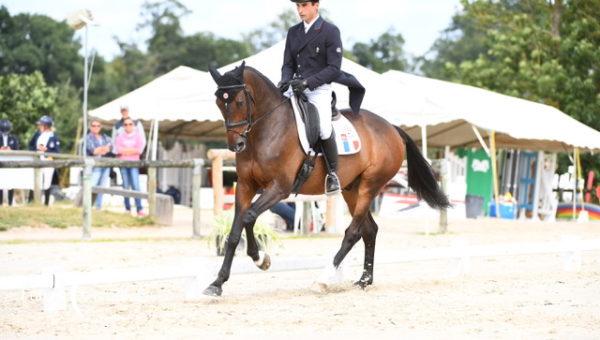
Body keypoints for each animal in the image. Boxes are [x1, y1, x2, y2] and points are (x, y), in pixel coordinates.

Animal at [204, 62, 448, 296]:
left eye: (239, 101)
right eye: (218, 103)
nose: (236, 145)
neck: (265, 131)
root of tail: (392, 128)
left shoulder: (279, 188)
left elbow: (249, 217)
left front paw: (260, 259)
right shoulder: (246, 186)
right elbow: (234, 232)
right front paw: (217, 283)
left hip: (370, 185)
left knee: (353, 232)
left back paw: (323, 280)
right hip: (351, 189)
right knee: (369, 230)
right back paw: (364, 280)